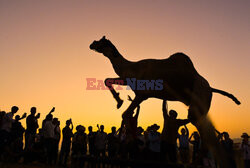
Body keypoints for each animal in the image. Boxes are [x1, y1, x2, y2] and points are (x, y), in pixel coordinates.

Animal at [89, 36, 240, 166]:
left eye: (102, 41)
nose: (92, 44)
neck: (133, 68)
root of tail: (211, 89)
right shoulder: (132, 85)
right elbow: (108, 82)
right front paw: (119, 101)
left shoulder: (142, 94)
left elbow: (125, 114)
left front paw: (126, 150)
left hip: (198, 103)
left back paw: (194, 163)